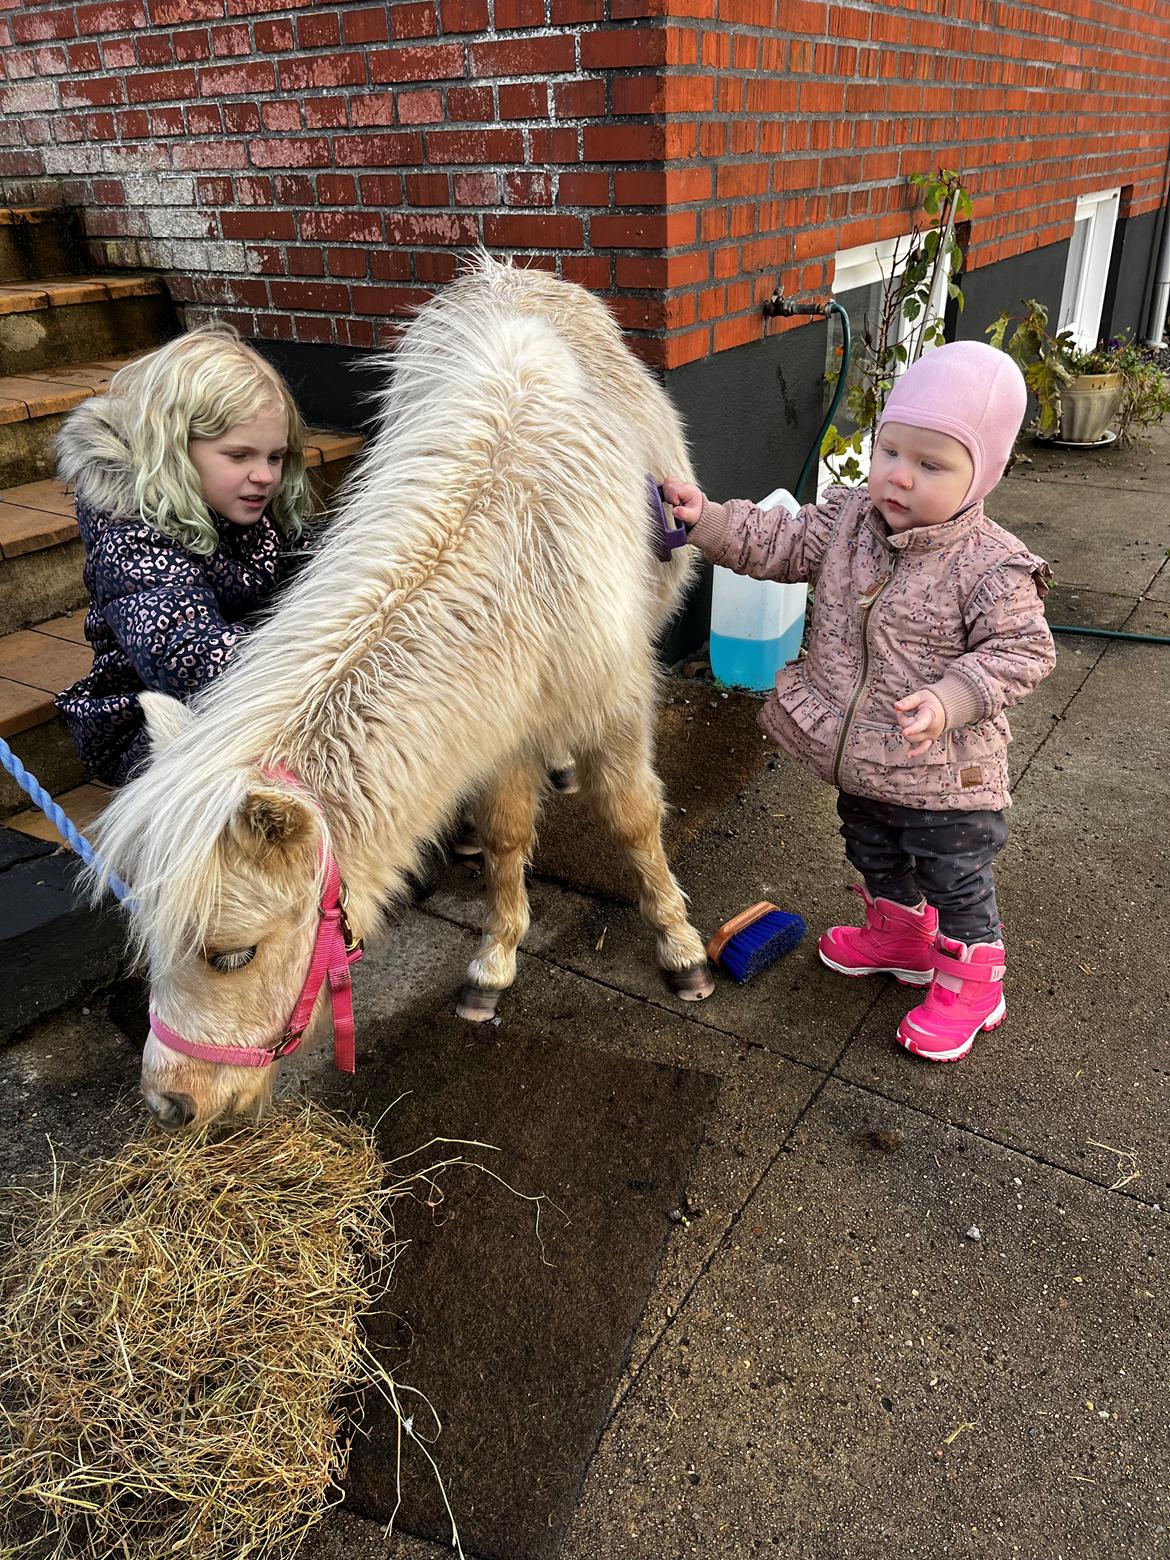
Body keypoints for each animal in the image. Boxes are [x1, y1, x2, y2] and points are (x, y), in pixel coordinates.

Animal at [89, 258, 714, 1135]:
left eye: (232, 953)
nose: (170, 1102)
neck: (515, 566)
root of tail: (507, 271)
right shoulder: (496, 725)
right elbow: (507, 835)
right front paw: (494, 959)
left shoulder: (614, 706)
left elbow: (632, 820)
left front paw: (679, 944)